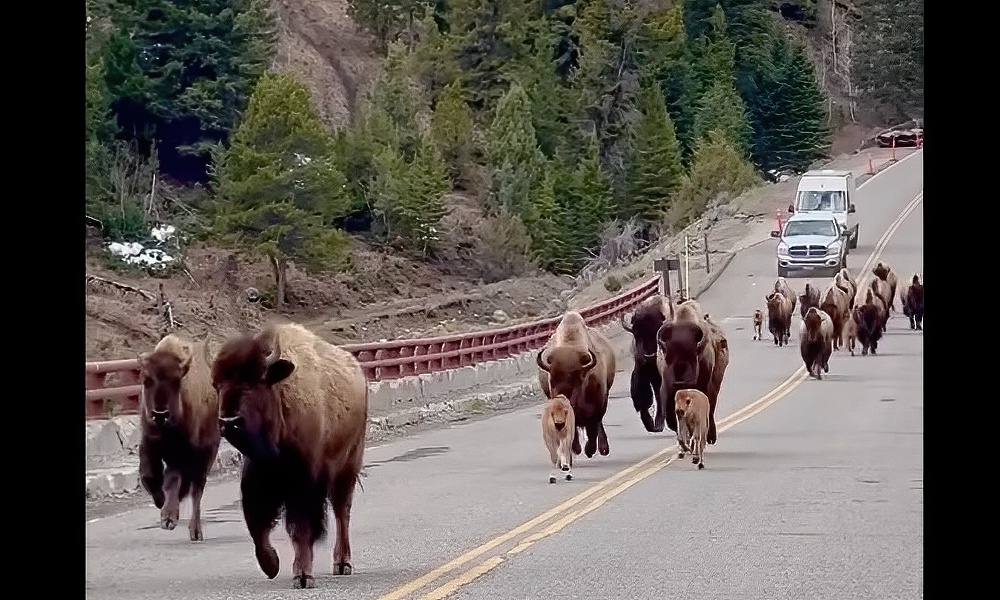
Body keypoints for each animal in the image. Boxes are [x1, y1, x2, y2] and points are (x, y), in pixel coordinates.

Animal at [137, 336, 219, 540]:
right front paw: (160, 502)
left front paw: (168, 518)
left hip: (207, 455)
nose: (160, 414)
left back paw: (195, 532)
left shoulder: (183, 454)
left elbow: (173, 479)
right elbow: (148, 475)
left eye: (176, 381)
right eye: (146, 380)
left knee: (197, 490)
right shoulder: (149, 444)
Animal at [213, 324, 370, 592]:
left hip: (347, 468)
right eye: (217, 384)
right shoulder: (258, 478)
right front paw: (271, 565)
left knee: (342, 512)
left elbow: (300, 529)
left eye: (254, 382)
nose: (228, 421)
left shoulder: (304, 483)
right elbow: (257, 524)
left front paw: (303, 576)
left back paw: (342, 563)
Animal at [540, 312, 616, 458]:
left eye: (577, 379)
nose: (563, 398)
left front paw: (589, 450)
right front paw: (576, 448)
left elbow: (594, 427)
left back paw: (602, 448)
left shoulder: (598, 404)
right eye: (551, 380)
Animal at [620, 294, 676, 432]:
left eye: (658, 332)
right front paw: (652, 423)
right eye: (636, 335)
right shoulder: (644, 371)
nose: (648, 356)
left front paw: (659, 423)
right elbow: (646, 396)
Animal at [652, 300, 732, 446]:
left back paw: (710, 437)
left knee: (710, 409)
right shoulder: (666, 389)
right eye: (666, 355)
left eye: (692, 354)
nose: (680, 381)